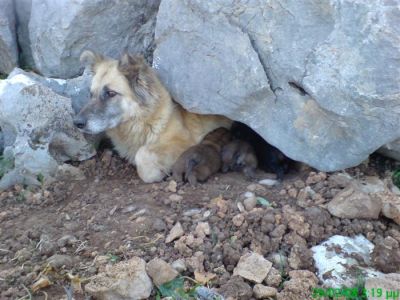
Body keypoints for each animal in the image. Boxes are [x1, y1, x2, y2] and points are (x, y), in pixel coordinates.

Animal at [74, 51, 231, 183]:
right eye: (91, 94)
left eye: (111, 93)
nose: (77, 123)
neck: (143, 120)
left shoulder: (184, 140)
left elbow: (142, 155)